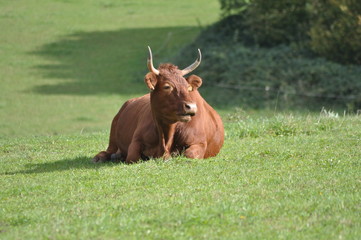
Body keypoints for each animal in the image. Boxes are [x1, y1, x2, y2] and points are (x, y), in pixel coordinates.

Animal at [92, 47, 222, 163]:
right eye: (167, 86)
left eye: (188, 88)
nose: (191, 107)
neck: (165, 137)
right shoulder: (136, 141)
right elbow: (133, 157)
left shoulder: (199, 142)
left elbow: (189, 154)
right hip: (113, 134)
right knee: (109, 151)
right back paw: (103, 157)